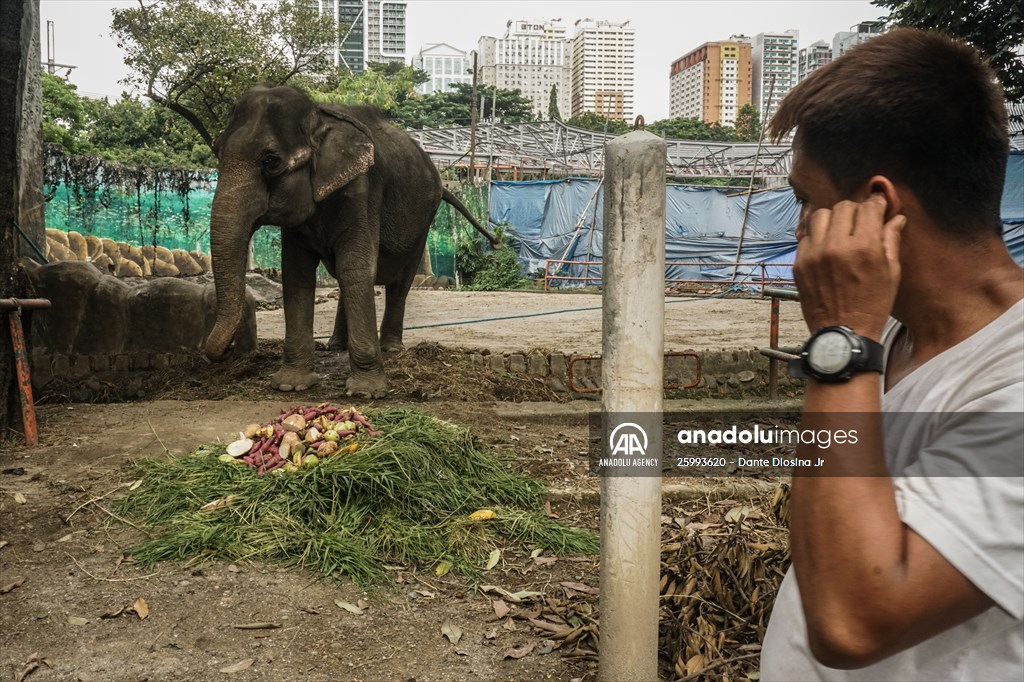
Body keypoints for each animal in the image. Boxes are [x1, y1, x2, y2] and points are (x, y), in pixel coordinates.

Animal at [200, 85, 499, 395]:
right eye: (217, 151)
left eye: (271, 161)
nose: (230, 350)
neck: (318, 116)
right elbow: (298, 273)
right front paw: (291, 386)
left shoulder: (363, 189)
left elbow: (355, 266)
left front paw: (367, 392)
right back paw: (336, 346)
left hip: (424, 218)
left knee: (399, 281)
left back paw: (391, 349)